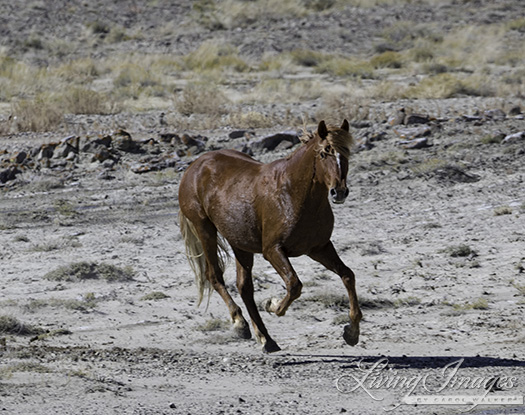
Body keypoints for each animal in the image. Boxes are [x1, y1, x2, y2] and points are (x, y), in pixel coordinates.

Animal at [178, 120, 362, 354]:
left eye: (346, 152)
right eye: (323, 153)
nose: (339, 192)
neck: (294, 193)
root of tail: (195, 166)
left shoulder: (319, 248)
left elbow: (347, 275)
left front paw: (352, 332)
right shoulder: (273, 250)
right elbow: (294, 284)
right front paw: (272, 305)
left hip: (240, 243)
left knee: (244, 287)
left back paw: (266, 339)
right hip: (205, 229)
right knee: (215, 276)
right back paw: (240, 324)